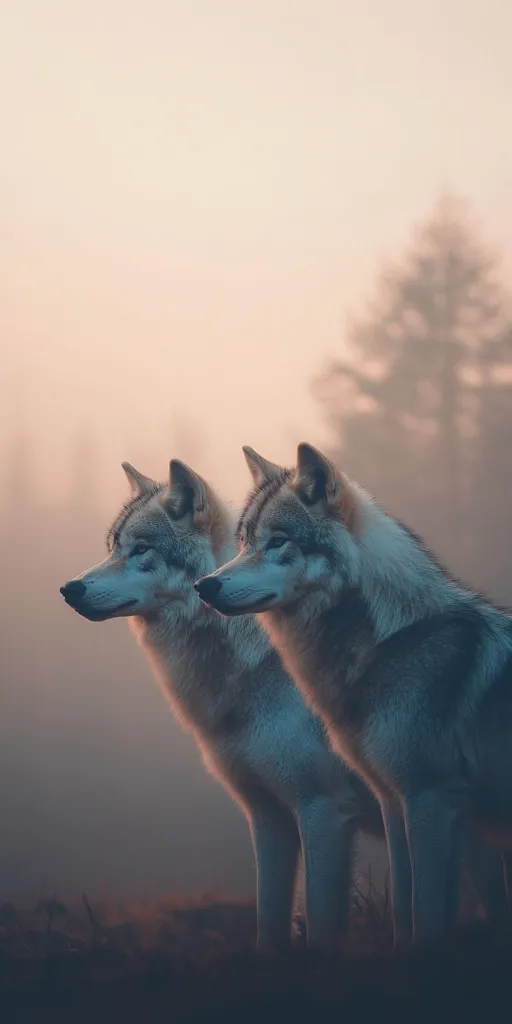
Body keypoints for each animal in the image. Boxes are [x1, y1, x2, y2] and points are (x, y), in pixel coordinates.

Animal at [60, 457, 389, 950]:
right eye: (113, 548)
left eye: (141, 550)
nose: (69, 589)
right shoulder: (268, 815)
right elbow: (268, 925)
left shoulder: (324, 809)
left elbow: (321, 922)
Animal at [195, 442, 512, 945]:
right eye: (243, 542)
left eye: (277, 541)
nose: (204, 586)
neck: (389, 643)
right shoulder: (394, 801)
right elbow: (405, 909)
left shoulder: (429, 797)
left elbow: (428, 913)